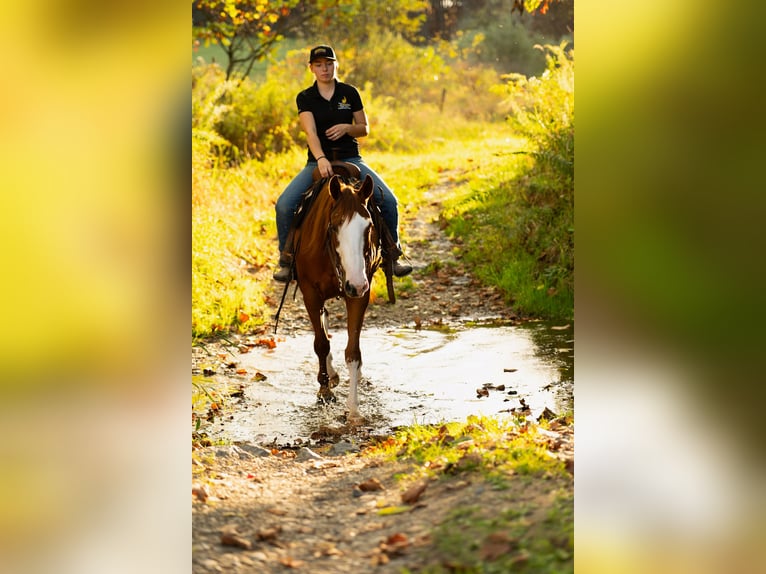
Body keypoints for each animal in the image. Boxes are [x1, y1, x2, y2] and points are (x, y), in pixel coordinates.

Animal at [290, 173, 381, 419]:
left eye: (369, 226)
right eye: (334, 226)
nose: (356, 283)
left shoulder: (359, 295)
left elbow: (352, 352)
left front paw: (354, 409)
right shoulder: (311, 294)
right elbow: (321, 344)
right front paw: (324, 391)